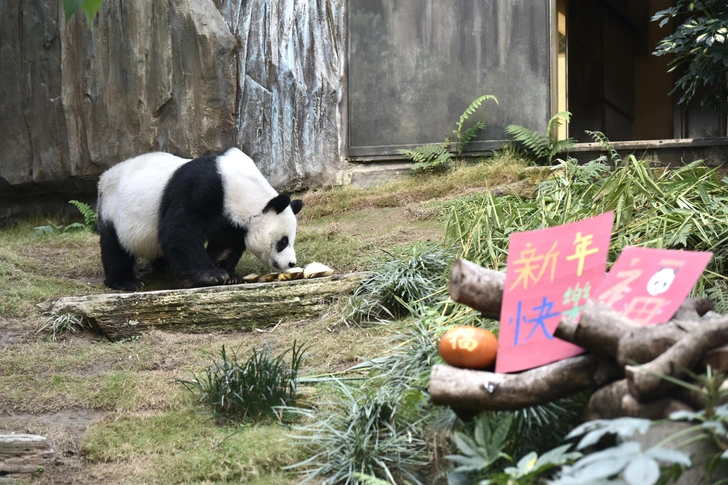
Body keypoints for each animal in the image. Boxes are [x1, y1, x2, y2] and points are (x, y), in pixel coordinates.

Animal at [96, 147, 302, 290]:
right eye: (283, 242)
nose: (291, 263)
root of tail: (104, 176)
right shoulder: (201, 189)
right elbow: (180, 230)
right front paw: (212, 276)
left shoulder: (229, 217)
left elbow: (225, 243)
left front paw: (228, 274)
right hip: (112, 211)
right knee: (114, 247)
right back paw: (126, 282)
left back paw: (164, 266)